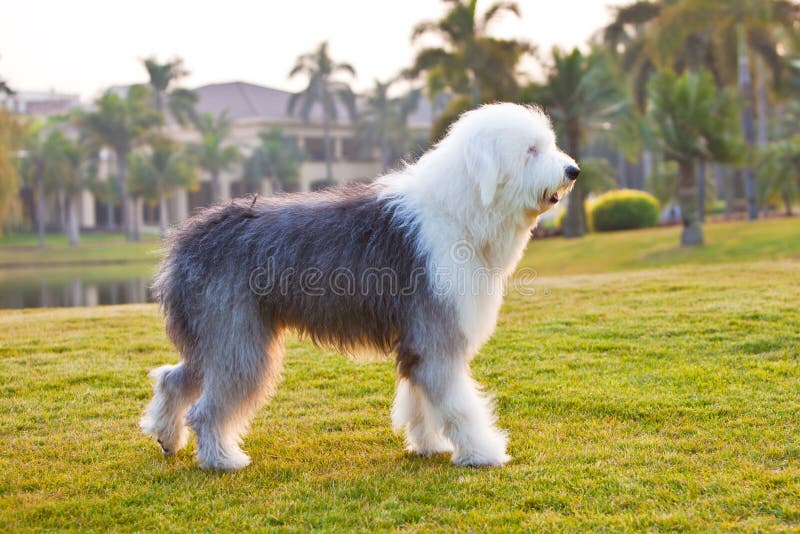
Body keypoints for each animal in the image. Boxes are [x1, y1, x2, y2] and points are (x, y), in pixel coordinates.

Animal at [141, 102, 580, 472]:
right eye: (531, 150)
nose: (573, 170)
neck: (460, 211)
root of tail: (186, 239)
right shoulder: (436, 334)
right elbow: (458, 403)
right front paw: (483, 452)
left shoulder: (417, 341)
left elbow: (420, 399)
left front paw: (429, 445)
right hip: (238, 337)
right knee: (207, 407)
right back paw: (222, 459)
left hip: (216, 334)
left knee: (174, 378)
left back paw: (166, 436)